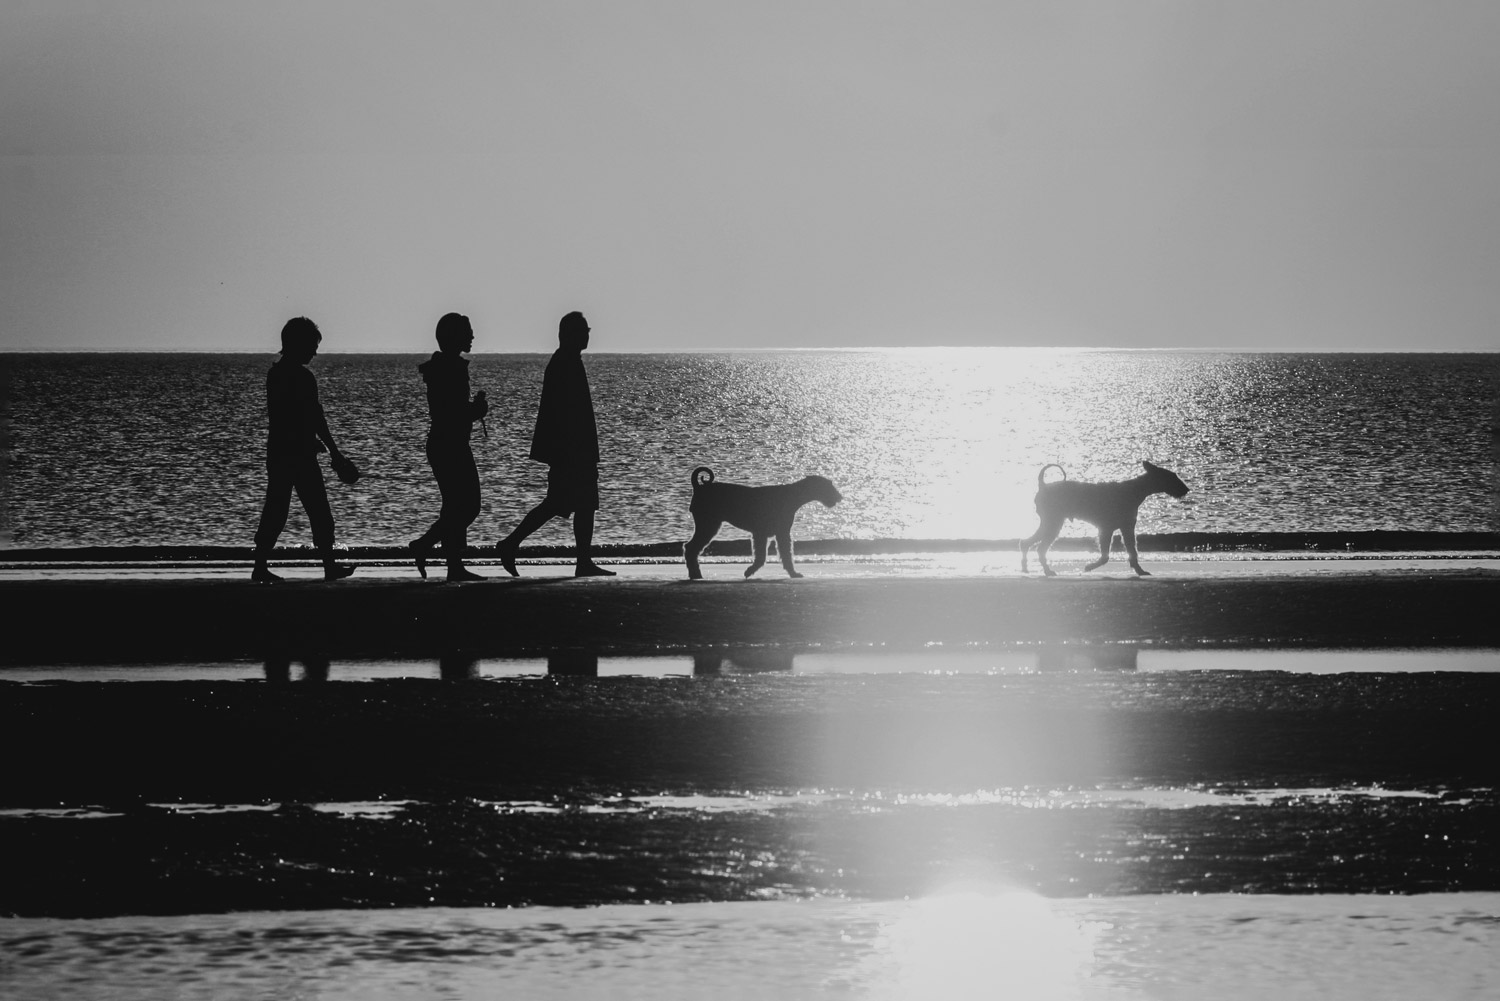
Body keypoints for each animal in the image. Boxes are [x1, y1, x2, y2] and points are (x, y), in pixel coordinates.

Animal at [684, 468, 840, 579]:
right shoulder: (768, 533)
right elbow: (768, 556)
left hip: (709, 525)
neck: (792, 496)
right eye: (828, 485)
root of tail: (699, 487)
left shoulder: (772, 534)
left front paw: (792, 573)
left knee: (691, 548)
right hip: (708, 525)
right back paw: (695, 574)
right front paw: (750, 571)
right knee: (690, 548)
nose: (840, 497)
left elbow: (778, 555)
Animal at [1026, 459, 1188, 576]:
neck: (1135, 490)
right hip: (1053, 523)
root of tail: (1043, 485)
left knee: (1026, 543)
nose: (1186, 489)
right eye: (1172, 477)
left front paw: (1139, 570)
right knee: (1039, 548)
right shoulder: (1106, 529)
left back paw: (1026, 567)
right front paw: (1089, 567)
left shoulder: (1126, 528)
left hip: (1050, 523)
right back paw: (1047, 570)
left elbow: (1132, 551)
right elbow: (1105, 556)